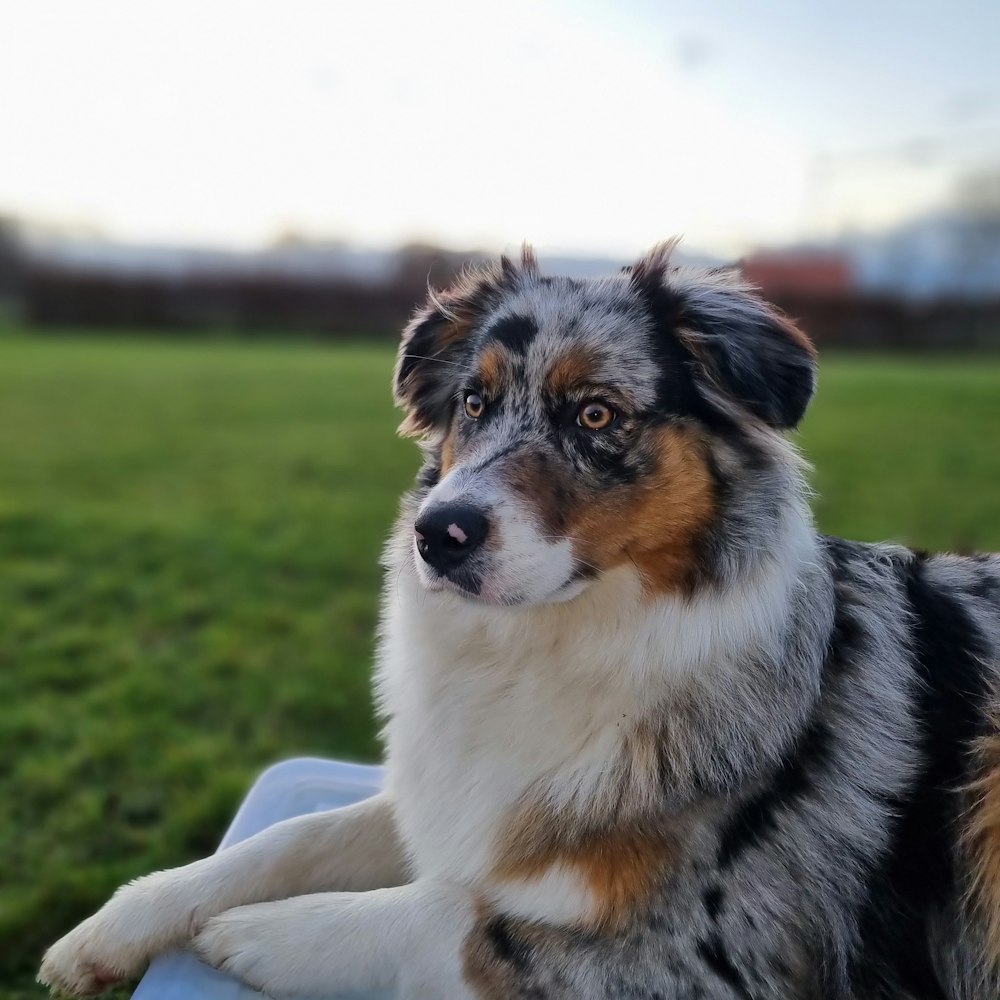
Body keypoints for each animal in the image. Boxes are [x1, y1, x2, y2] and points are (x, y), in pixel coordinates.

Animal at [37, 244, 1000, 1000]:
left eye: (596, 414)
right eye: (472, 403)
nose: (437, 536)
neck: (545, 640)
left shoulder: (714, 954)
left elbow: (453, 916)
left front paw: (259, 932)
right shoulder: (464, 802)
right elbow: (292, 834)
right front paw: (120, 924)